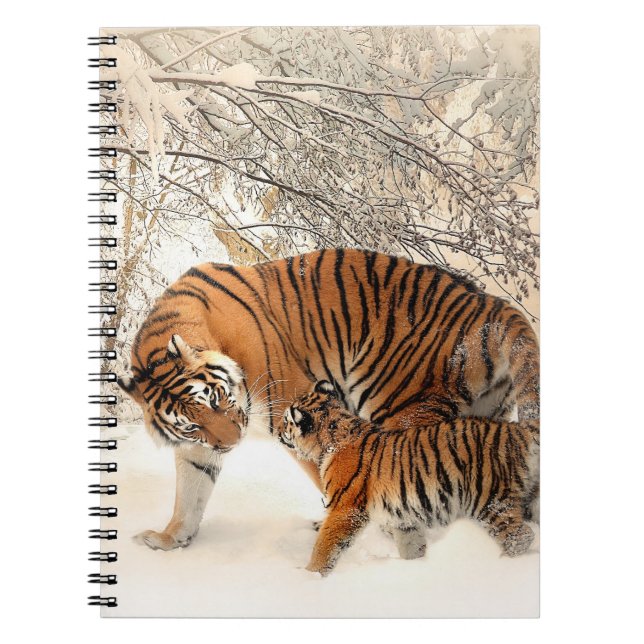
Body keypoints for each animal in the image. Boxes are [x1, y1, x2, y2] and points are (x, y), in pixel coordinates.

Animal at [118, 248, 539, 553]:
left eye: (219, 399)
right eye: (192, 424)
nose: (233, 443)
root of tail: (495, 306)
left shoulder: (293, 412)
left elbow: (332, 476)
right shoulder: (198, 446)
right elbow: (190, 492)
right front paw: (170, 539)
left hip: (402, 406)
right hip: (485, 417)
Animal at [280, 380, 540, 576]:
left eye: (285, 420)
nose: (279, 431)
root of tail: (520, 430)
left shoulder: (345, 509)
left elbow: (325, 546)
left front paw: (309, 576)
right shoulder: (403, 515)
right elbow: (411, 545)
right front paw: (414, 568)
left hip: (490, 500)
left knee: (521, 536)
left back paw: (503, 565)